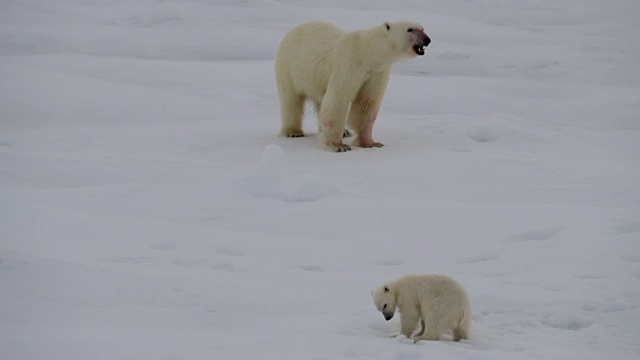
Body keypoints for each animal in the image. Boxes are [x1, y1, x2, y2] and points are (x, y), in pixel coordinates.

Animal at [276, 21, 430, 152]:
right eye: (410, 29)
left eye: (422, 28)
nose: (427, 40)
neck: (368, 53)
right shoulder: (349, 65)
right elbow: (338, 98)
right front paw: (337, 146)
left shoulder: (376, 73)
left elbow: (366, 103)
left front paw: (371, 143)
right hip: (289, 67)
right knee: (291, 100)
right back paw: (293, 132)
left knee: (321, 101)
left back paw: (343, 131)